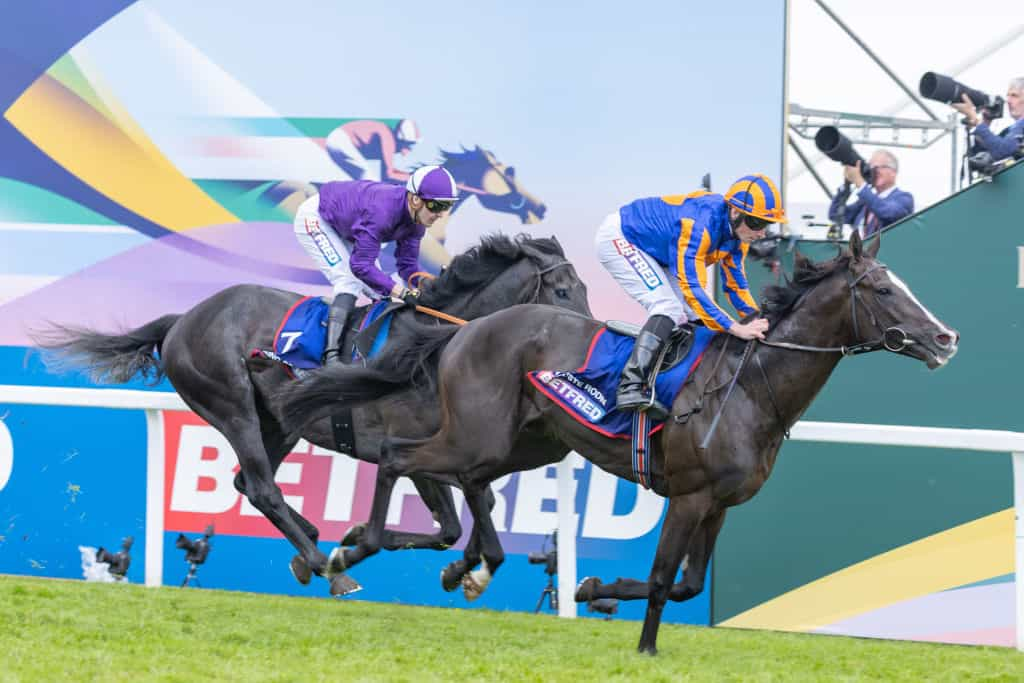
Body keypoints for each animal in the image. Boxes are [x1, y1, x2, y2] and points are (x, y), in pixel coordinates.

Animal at [39, 233, 593, 593]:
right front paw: (356, 543)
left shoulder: (451, 450)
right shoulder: (418, 446)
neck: (435, 347)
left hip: (281, 420)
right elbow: (454, 521)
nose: (589, 342)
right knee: (261, 486)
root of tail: (183, 319)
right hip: (232, 405)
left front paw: (453, 568)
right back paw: (325, 563)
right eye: (563, 291)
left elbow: (465, 518)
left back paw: (310, 547)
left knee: (249, 483)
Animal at [282, 233, 958, 651]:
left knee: (469, 481)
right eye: (883, 290)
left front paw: (592, 589)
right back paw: (348, 552)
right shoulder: (688, 495)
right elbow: (662, 580)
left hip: (525, 442)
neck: (751, 387)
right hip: (478, 434)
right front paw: (646, 647)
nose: (946, 337)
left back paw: (464, 569)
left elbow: (687, 585)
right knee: (398, 455)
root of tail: (467, 328)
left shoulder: (718, 505)